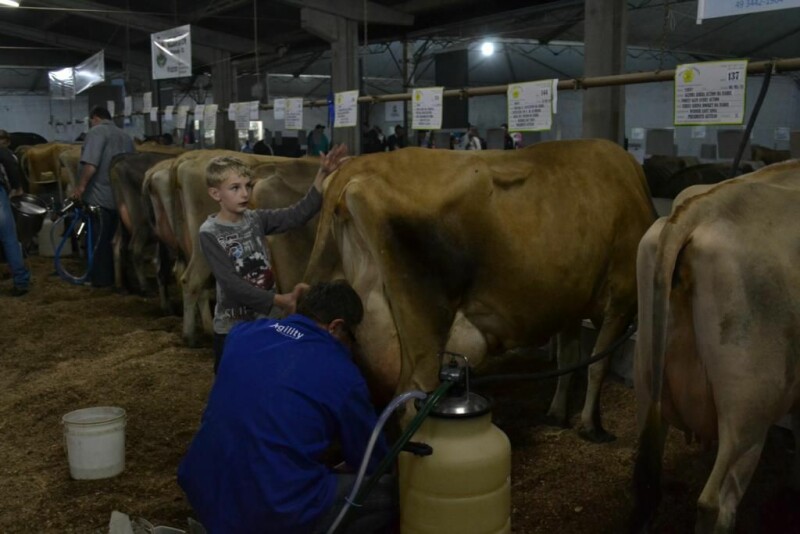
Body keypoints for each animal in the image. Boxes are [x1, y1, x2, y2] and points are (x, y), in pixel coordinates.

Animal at [304, 140, 652, 442]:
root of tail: (360, 165)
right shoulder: (623, 297)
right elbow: (597, 365)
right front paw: (592, 426)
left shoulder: (572, 302)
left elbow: (569, 360)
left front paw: (557, 414)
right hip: (428, 326)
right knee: (412, 405)